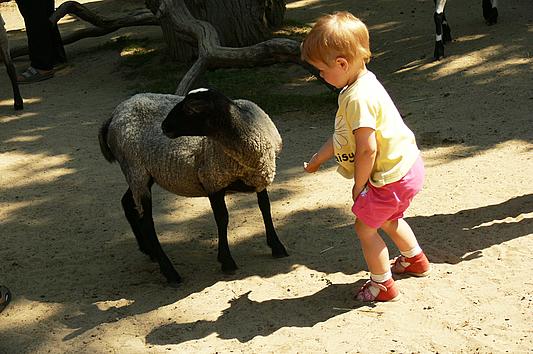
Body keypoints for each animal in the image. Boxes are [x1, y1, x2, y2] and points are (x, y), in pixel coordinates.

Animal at [97, 88, 288, 284]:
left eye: (191, 109)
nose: (164, 126)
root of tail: (114, 114)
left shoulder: (259, 178)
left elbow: (265, 208)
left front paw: (277, 246)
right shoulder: (212, 180)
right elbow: (222, 219)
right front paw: (226, 261)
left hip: (141, 174)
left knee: (127, 203)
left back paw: (148, 251)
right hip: (135, 169)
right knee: (147, 223)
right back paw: (170, 272)